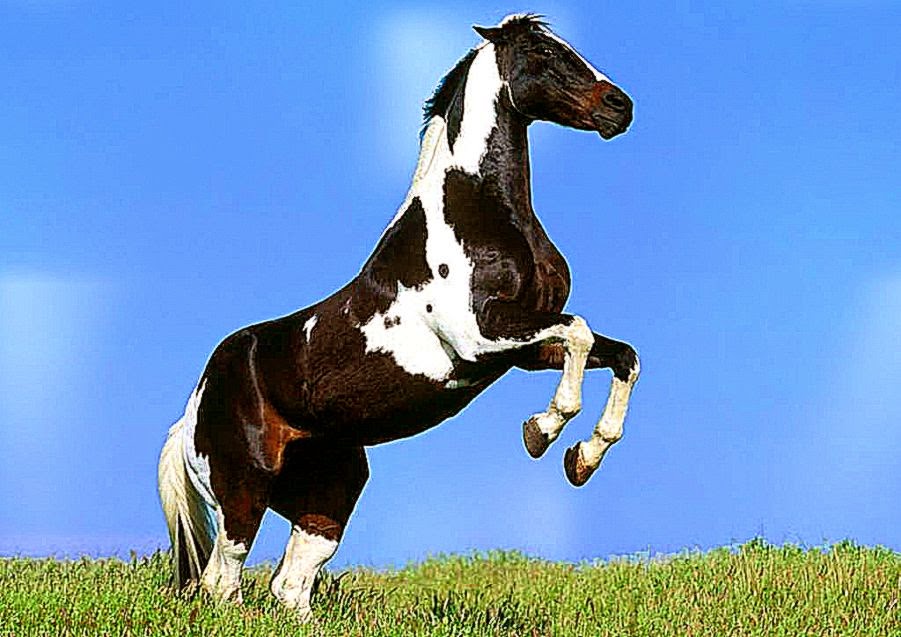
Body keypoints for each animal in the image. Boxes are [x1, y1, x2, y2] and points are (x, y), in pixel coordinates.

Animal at [158, 13, 639, 620]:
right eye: (542, 52)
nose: (620, 107)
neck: (478, 215)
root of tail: (192, 410)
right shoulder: (480, 337)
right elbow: (579, 334)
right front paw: (542, 432)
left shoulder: (527, 347)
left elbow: (619, 354)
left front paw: (582, 459)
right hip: (244, 490)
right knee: (223, 582)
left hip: (329, 494)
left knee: (290, 585)